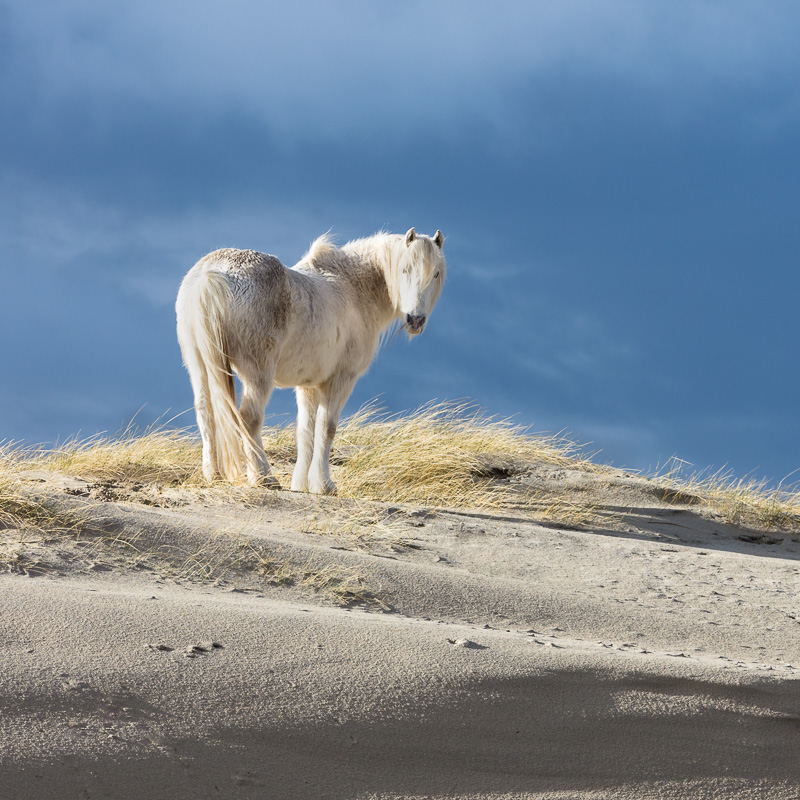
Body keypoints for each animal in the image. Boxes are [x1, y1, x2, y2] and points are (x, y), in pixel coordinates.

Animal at [176, 228, 446, 494]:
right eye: (405, 269)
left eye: (436, 273)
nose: (415, 320)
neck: (352, 288)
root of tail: (209, 275)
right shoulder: (341, 379)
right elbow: (327, 428)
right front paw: (324, 485)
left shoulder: (308, 385)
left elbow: (306, 431)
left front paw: (302, 485)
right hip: (258, 374)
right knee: (249, 418)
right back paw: (264, 477)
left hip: (199, 367)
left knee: (205, 412)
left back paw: (213, 474)